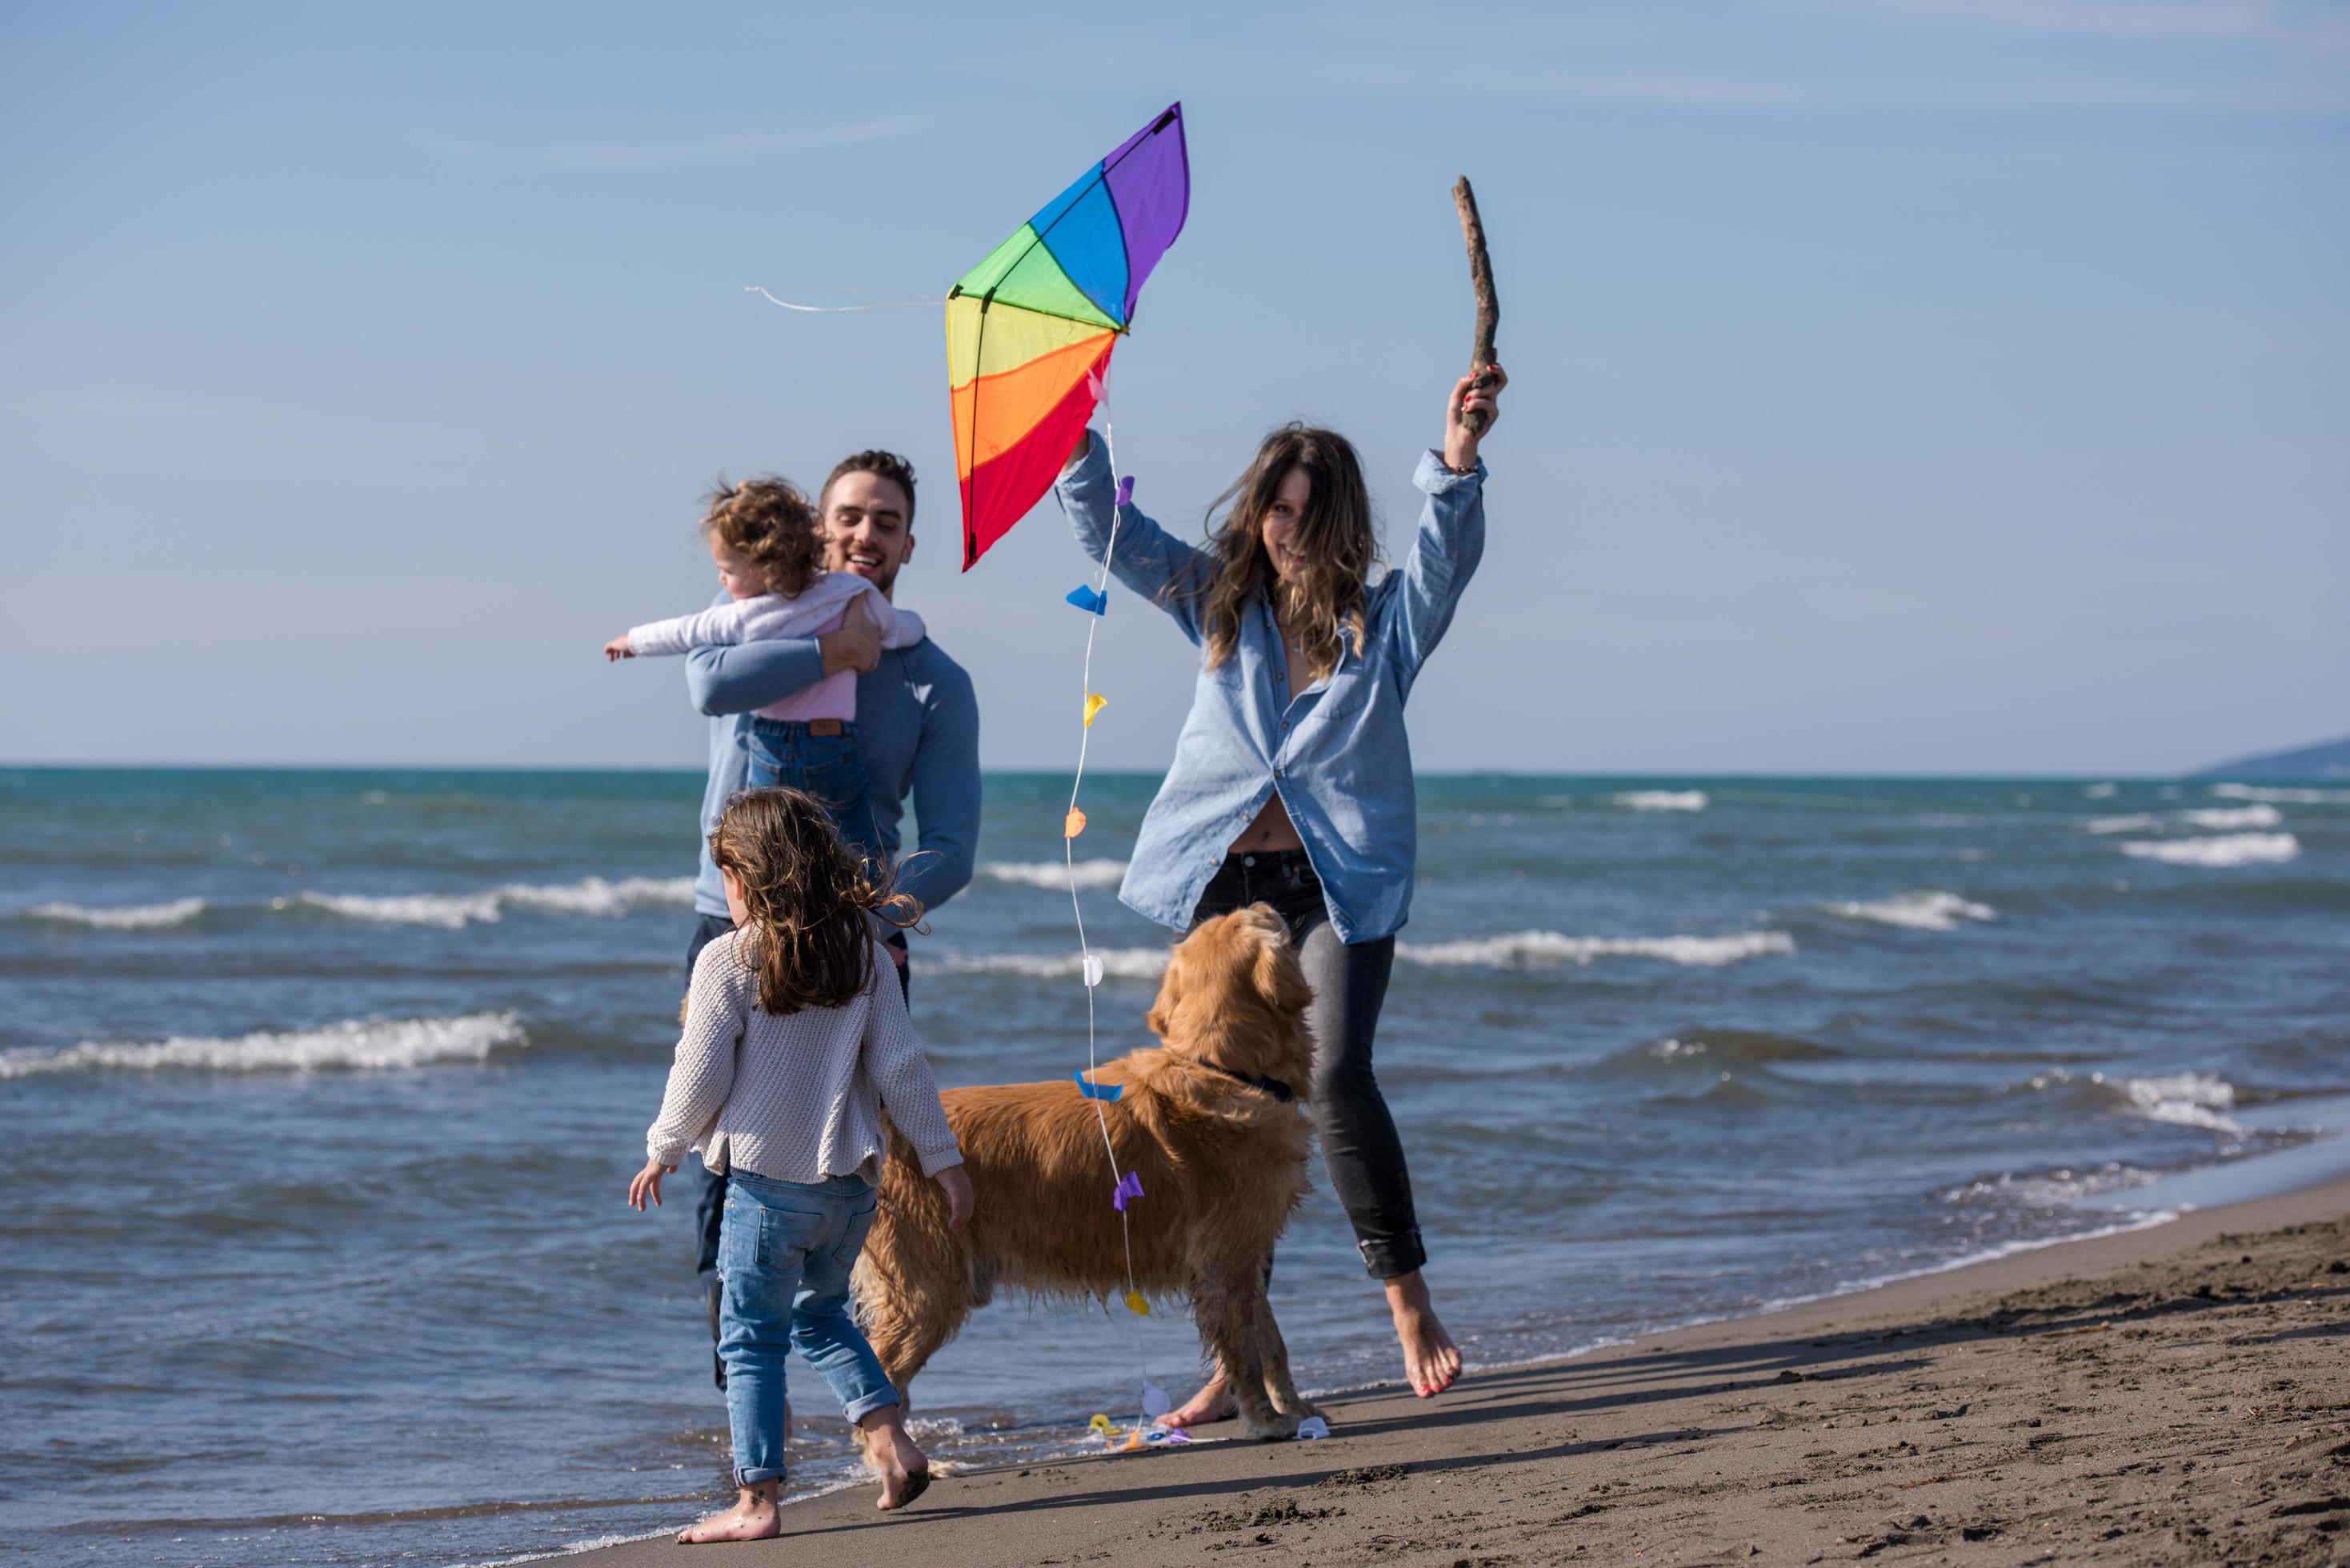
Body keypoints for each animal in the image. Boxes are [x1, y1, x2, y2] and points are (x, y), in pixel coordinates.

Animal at [851, 902, 1325, 1438]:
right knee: (876, 1383)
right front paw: (1266, 1420)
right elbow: (1245, 1351)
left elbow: (1272, 1342)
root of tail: (882, 1131)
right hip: (928, 1290)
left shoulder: (1247, 1251)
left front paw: (1295, 1408)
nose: (1264, 903)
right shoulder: (1225, 1261)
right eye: (1255, 920)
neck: (1223, 1069)